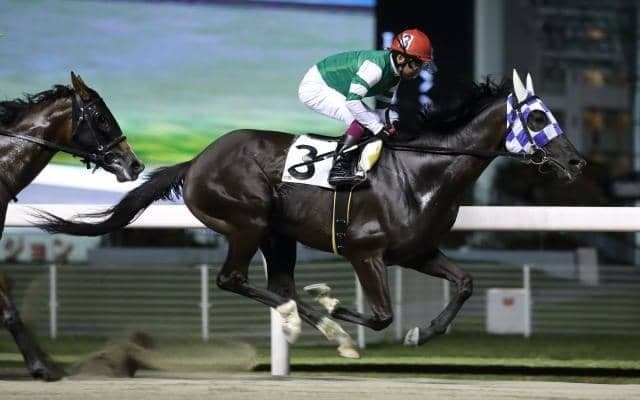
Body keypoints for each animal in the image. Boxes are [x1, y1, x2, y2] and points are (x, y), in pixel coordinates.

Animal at [36, 70, 585, 359]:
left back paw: (316, 318)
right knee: (236, 280)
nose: (578, 162)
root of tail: (197, 161)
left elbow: (466, 283)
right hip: (248, 220)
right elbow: (380, 315)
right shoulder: (366, 251)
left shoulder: (416, 251)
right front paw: (338, 307)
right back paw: (320, 321)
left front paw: (422, 332)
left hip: (278, 234)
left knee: (279, 284)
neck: (422, 170)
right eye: (538, 116)